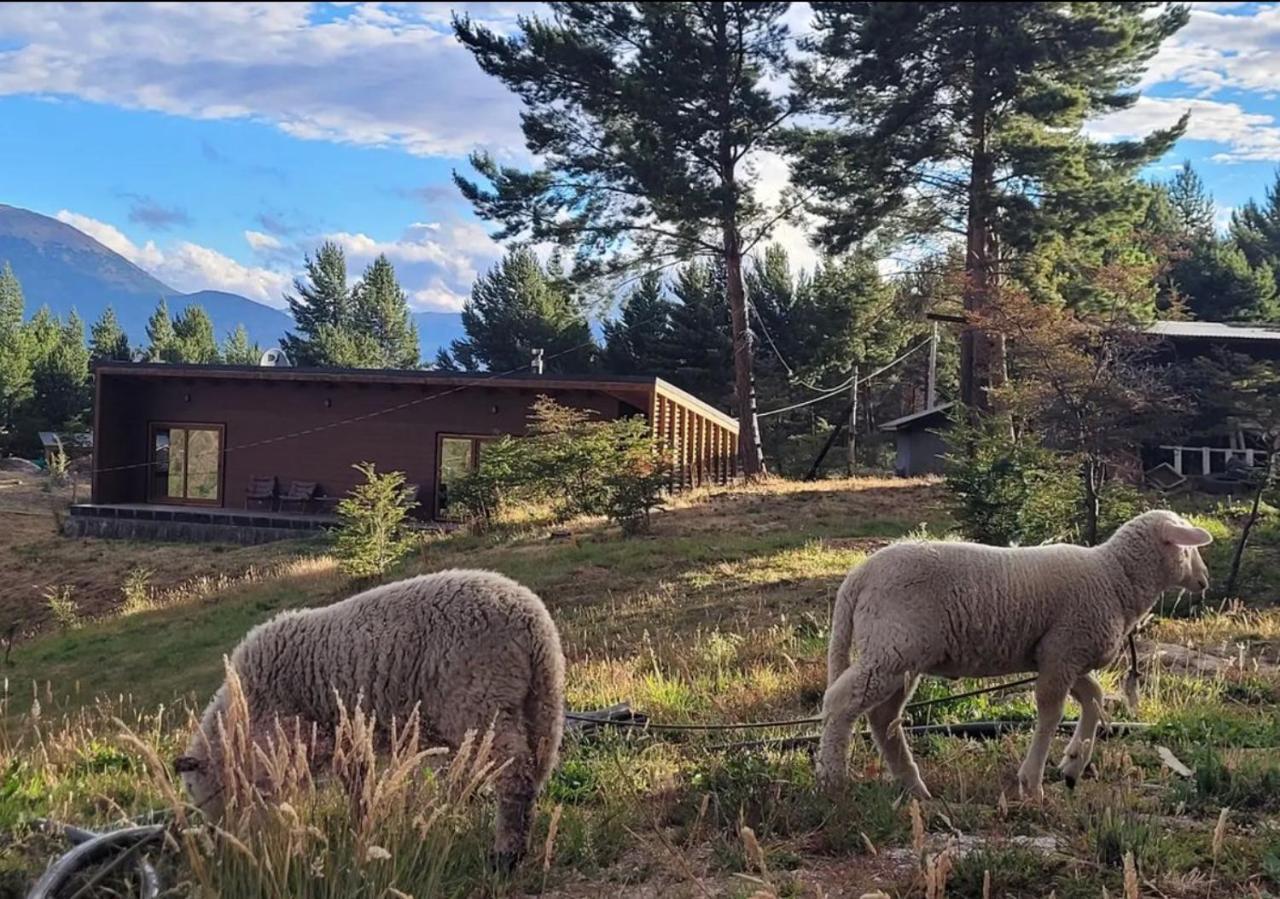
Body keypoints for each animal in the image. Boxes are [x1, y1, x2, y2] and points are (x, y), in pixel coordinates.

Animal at [175, 571, 565, 865]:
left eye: (199, 794)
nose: (222, 845)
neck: (241, 716)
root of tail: (531, 619)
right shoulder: (347, 738)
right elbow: (358, 785)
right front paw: (361, 830)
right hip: (538, 705)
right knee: (534, 769)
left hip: (481, 704)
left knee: (514, 775)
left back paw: (505, 854)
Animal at [819, 514, 1208, 804]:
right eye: (1188, 548)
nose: (1205, 580)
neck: (1116, 578)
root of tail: (857, 577)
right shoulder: (1064, 649)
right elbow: (1051, 714)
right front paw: (1032, 783)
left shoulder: (1062, 654)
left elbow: (1094, 698)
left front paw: (1073, 763)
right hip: (892, 649)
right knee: (841, 702)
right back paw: (833, 779)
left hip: (901, 657)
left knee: (883, 717)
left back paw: (913, 787)